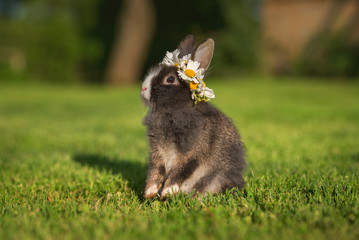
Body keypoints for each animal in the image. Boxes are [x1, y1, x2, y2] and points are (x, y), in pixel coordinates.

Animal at [142, 34, 246, 199]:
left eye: (170, 79)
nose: (143, 88)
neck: (175, 110)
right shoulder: (157, 154)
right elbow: (155, 171)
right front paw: (150, 192)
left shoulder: (191, 154)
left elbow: (180, 172)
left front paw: (167, 192)